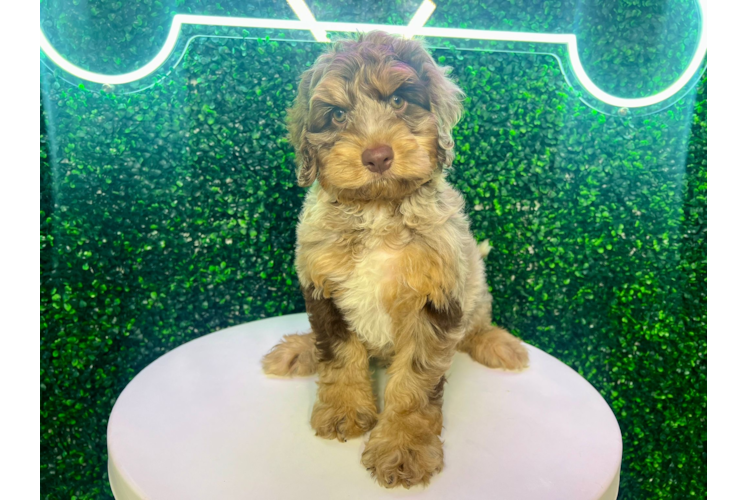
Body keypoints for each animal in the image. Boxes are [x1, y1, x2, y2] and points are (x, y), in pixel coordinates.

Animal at [260, 31, 528, 488]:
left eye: (400, 100)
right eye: (336, 115)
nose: (377, 156)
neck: (378, 211)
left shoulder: (438, 298)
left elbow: (414, 384)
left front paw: (404, 447)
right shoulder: (322, 287)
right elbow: (338, 352)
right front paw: (343, 410)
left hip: (474, 281)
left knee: (476, 321)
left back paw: (498, 343)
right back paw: (298, 350)